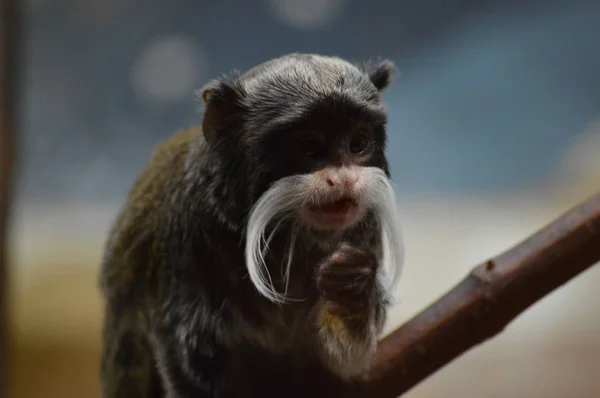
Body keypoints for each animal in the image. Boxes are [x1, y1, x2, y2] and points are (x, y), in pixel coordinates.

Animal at [99, 53, 404, 398]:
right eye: (311, 147)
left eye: (358, 143)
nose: (345, 179)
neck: (285, 235)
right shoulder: (187, 239)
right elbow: (188, 359)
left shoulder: (366, 229)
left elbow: (344, 360)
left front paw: (353, 289)